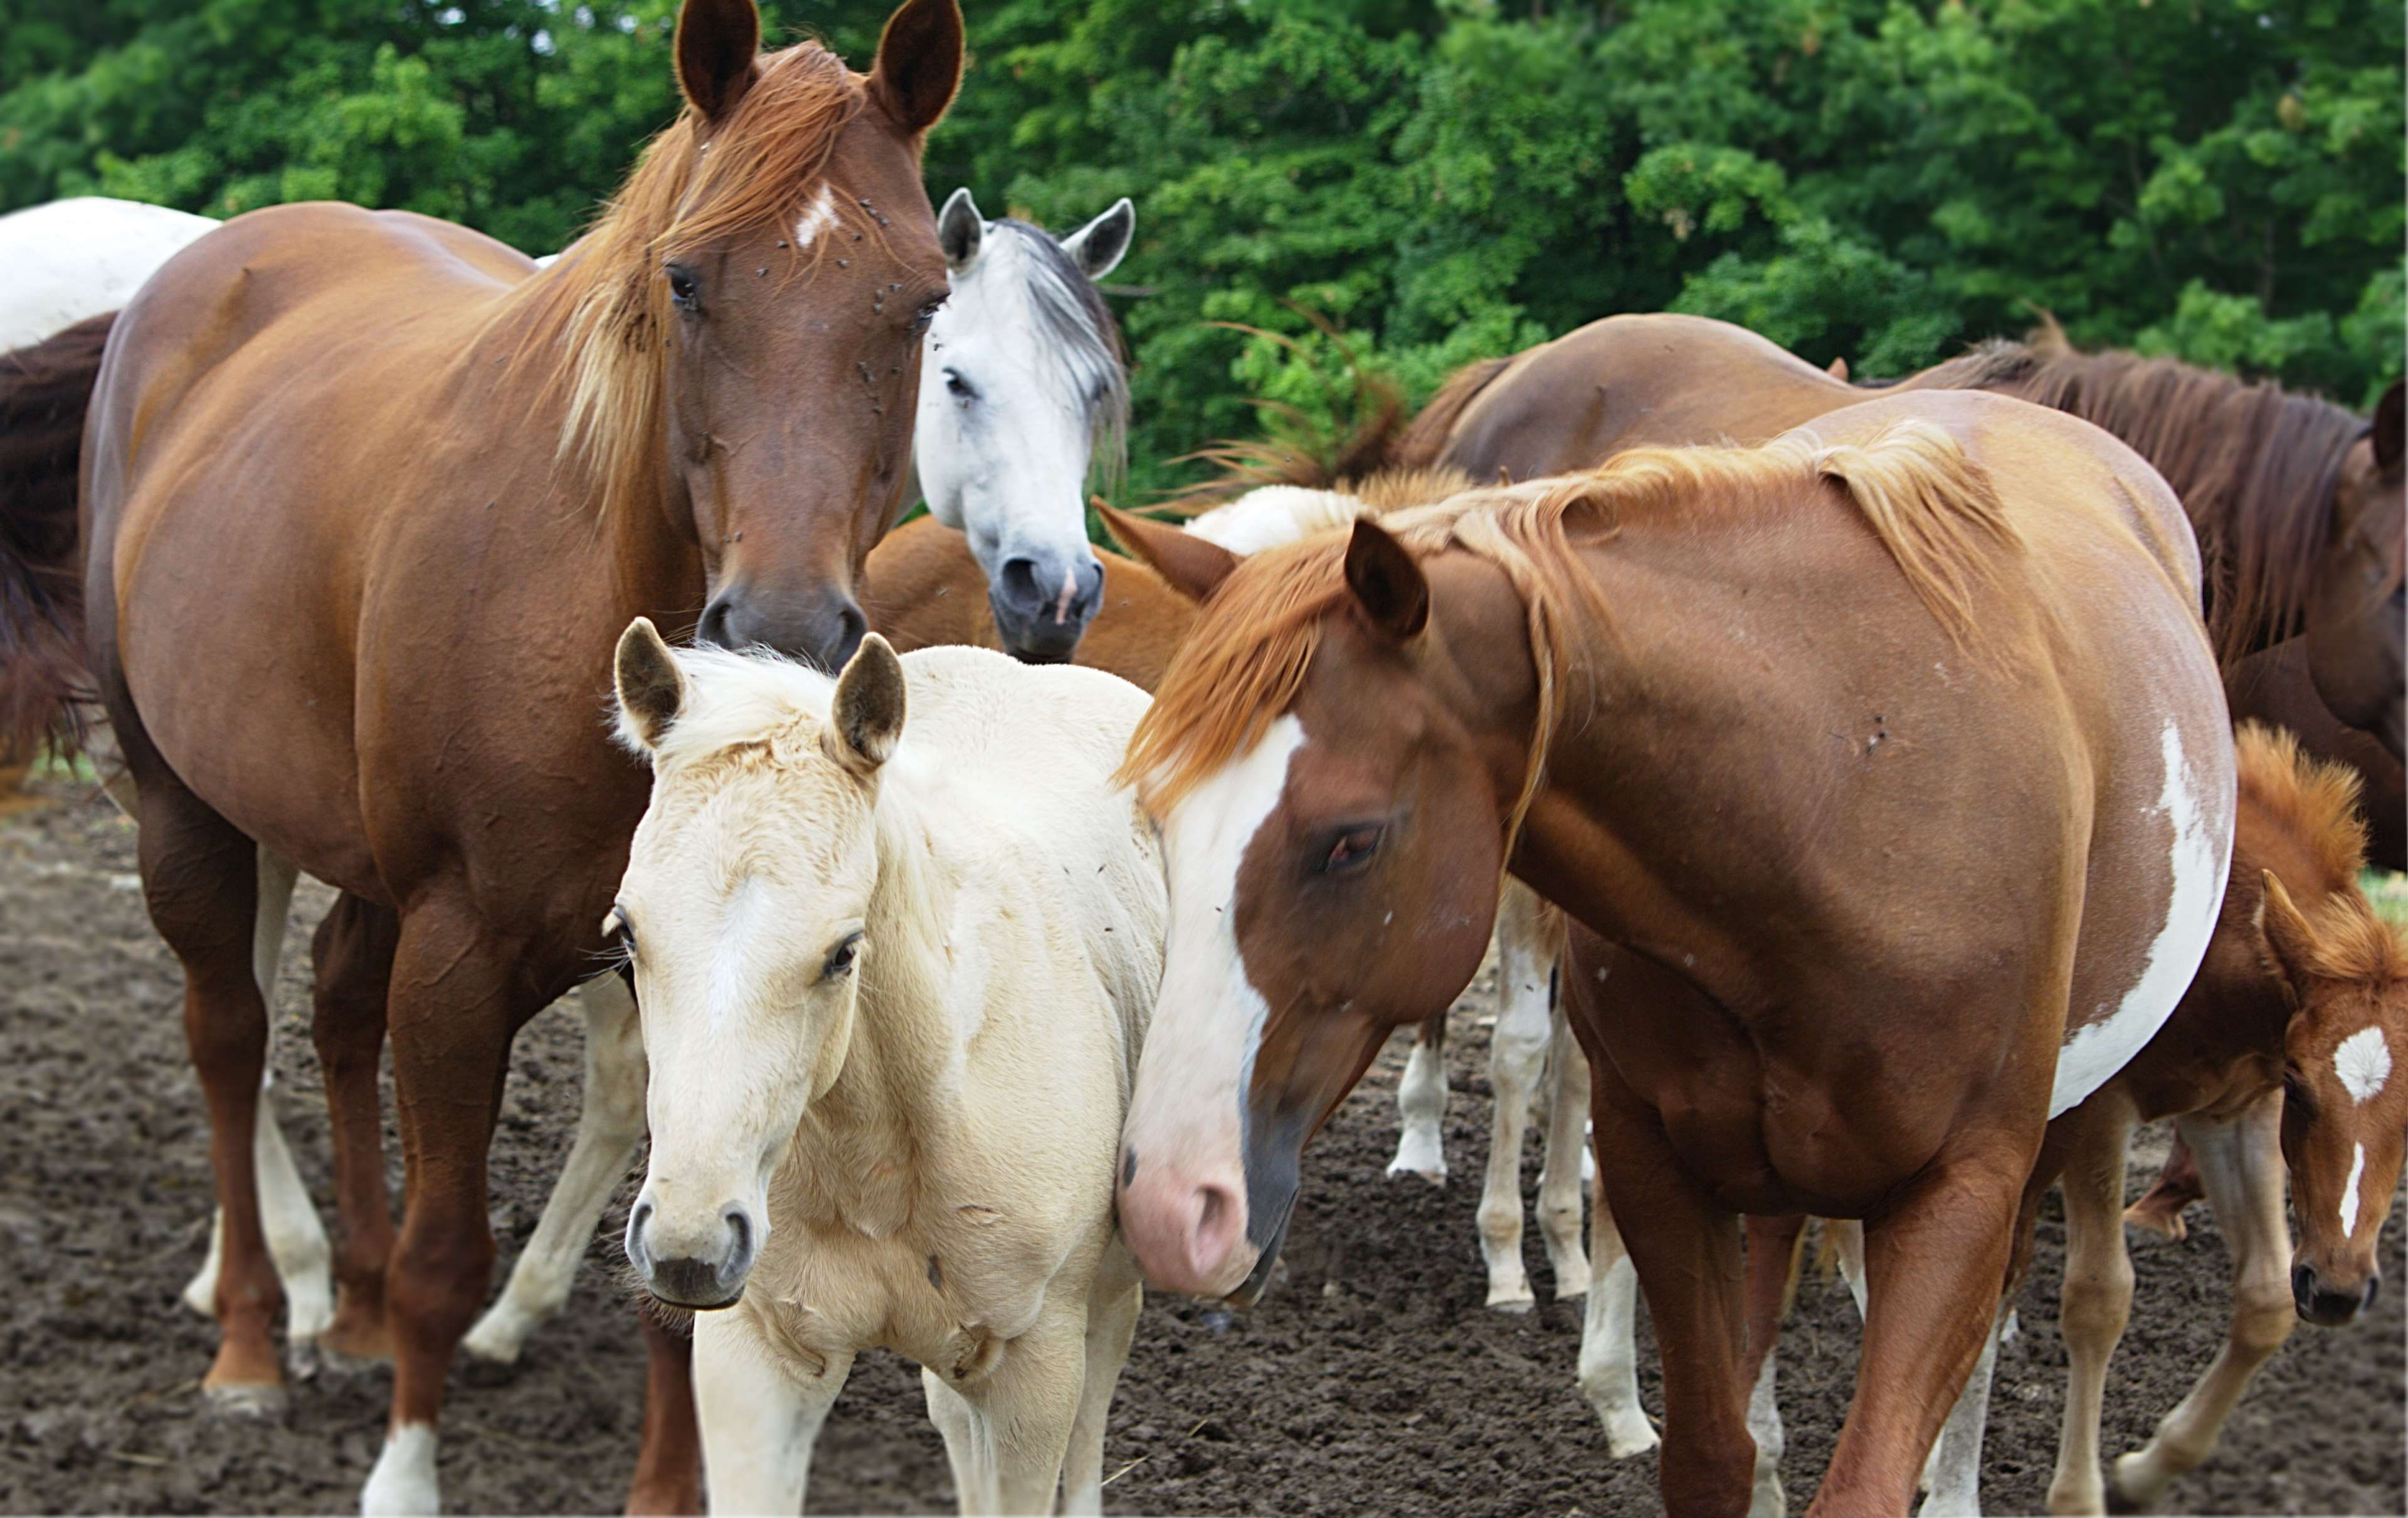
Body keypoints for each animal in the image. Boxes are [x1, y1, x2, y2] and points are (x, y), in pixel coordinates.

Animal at [0, 2, 965, 1511]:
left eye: (921, 302)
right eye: (685, 280)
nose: (788, 627)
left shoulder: (684, 977)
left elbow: (675, 1270)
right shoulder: (458, 958)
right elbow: (451, 1248)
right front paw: (404, 1466)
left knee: (335, 1009)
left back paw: (347, 1306)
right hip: (183, 809)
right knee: (229, 1035)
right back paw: (255, 1338)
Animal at [607, 622, 1165, 1514]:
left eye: (843, 952)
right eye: (627, 931)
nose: (687, 1248)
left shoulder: (1035, 1375)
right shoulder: (756, 1353)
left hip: (1103, 1296)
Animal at [1103, 389, 2235, 1515]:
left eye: (1351, 840)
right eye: (1159, 819)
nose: (1169, 1202)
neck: (1843, 784)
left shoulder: (1964, 1190)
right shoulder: (1656, 1162)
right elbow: (1708, 1452)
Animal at [1737, 723, 2408, 1516]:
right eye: (2303, 1086)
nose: (2338, 1288)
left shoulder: (2233, 1112)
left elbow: (2267, 1299)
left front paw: (2151, 1467)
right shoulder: (2099, 1111)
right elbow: (2098, 1298)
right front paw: (2080, 1495)